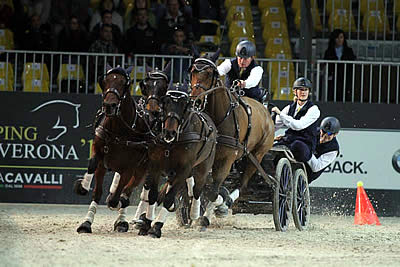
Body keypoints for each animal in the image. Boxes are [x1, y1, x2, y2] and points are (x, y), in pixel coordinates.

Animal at [74, 67, 151, 234]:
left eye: (123, 83)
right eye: (106, 81)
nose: (109, 105)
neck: (118, 130)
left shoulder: (129, 168)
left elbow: (117, 198)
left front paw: (117, 206)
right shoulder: (100, 157)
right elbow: (95, 185)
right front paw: (86, 222)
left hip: (141, 170)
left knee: (127, 191)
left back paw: (123, 219)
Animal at [138, 90, 219, 239]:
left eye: (183, 106)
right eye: (166, 103)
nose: (169, 132)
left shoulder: (183, 170)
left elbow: (169, 198)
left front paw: (156, 227)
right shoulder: (155, 166)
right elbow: (152, 195)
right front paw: (146, 223)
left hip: (203, 167)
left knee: (197, 189)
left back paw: (194, 213)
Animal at [190, 49, 276, 228]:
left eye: (210, 73)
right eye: (193, 71)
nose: (196, 100)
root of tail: (267, 113)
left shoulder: (227, 159)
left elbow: (214, 192)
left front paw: (216, 209)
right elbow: (200, 187)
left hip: (256, 155)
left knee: (243, 184)